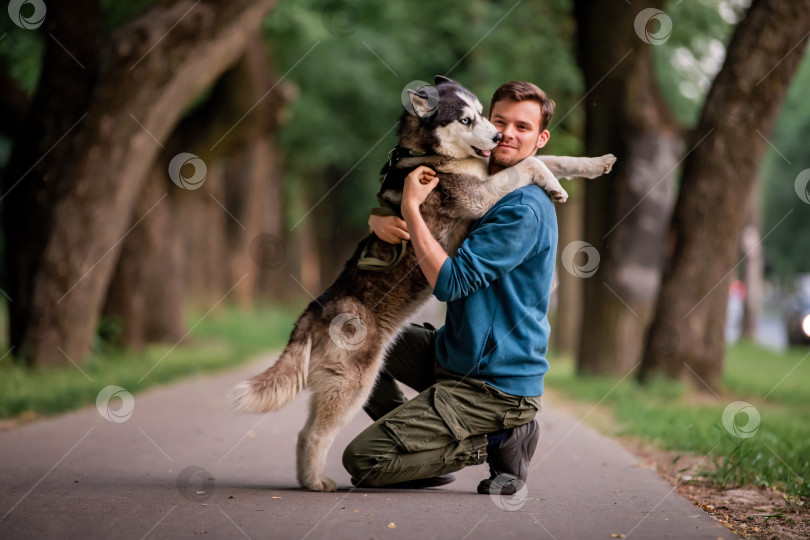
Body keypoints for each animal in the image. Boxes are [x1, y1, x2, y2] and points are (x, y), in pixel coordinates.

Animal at [227, 74, 612, 492]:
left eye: (485, 114)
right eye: (465, 119)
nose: (498, 137)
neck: (431, 155)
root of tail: (314, 311)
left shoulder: (491, 172)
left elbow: (549, 157)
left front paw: (593, 164)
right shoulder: (481, 197)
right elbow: (530, 160)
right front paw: (554, 185)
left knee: (303, 432)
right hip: (352, 383)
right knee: (314, 435)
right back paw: (317, 482)